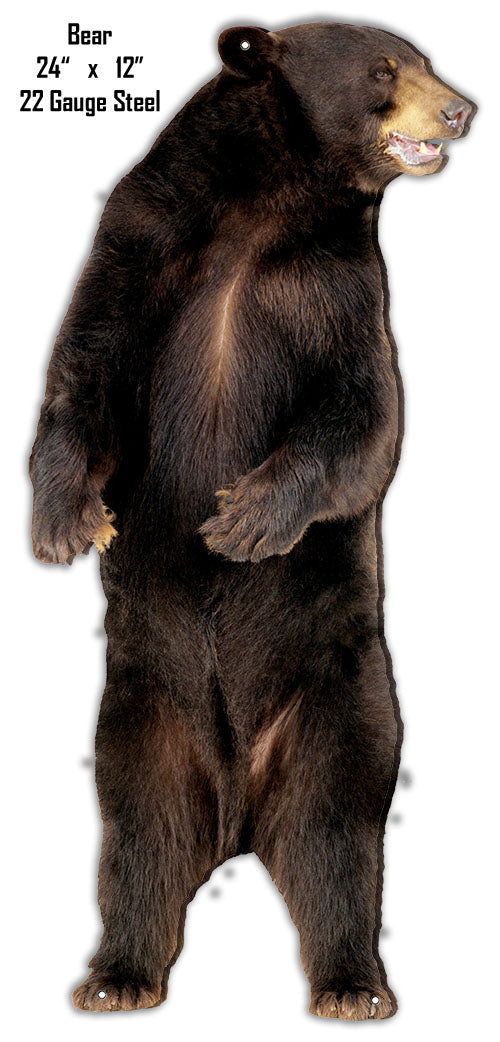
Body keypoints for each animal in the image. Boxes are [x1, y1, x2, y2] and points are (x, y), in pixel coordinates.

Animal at [30, 21, 475, 1019]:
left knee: (336, 843)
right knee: (140, 837)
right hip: (143, 717)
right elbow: (85, 369)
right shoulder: (140, 245)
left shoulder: (343, 289)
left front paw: (242, 520)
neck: (260, 213)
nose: (463, 109)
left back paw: (353, 984)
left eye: (422, 60)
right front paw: (66, 523)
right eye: (388, 66)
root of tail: (237, 820)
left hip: (340, 707)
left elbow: (364, 417)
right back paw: (118, 974)